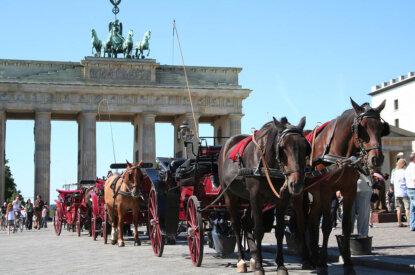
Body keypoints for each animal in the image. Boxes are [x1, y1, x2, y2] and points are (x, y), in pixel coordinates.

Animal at [219, 117, 310, 275]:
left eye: (305, 147)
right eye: (282, 147)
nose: (296, 183)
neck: (268, 163)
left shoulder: (282, 199)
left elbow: (279, 231)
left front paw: (280, 265)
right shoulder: (256, 196)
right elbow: (259, 230)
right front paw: (260, 267)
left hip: (247, 197)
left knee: (246, 223)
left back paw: (253, 257)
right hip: (230, 194)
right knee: (236, 225)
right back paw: (241, 260)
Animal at [296, 98, 390, 274]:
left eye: (381, 128)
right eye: (362, 127)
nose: (377, 158)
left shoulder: (349, 190)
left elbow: (347, 226)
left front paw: (348, 262)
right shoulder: (327, 190)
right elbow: (326, 225)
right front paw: (323, 263)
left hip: (316, 194)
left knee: (312, 221)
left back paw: (314, 256)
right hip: (300, 194)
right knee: (302, 221)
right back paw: (306, 259)